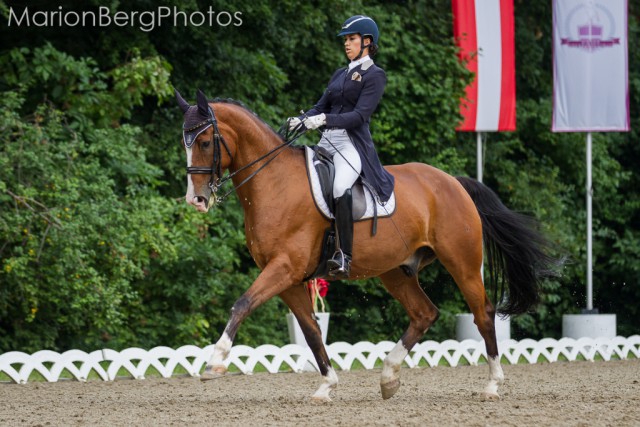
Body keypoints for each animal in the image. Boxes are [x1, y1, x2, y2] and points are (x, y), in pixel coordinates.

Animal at [176, 88, 560, 402]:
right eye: (185, 142)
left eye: (206, 142)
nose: (196, 200)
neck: (275, 183)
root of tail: (453, 181)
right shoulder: (289, 278)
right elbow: (311, 331)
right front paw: (326, 386)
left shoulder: (284, 267)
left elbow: (242, 304)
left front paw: (214, 363)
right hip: (395, 270)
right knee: (424, 313)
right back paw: (388, 378)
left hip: (462, 263)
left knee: (483, 313)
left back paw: (493, 384)